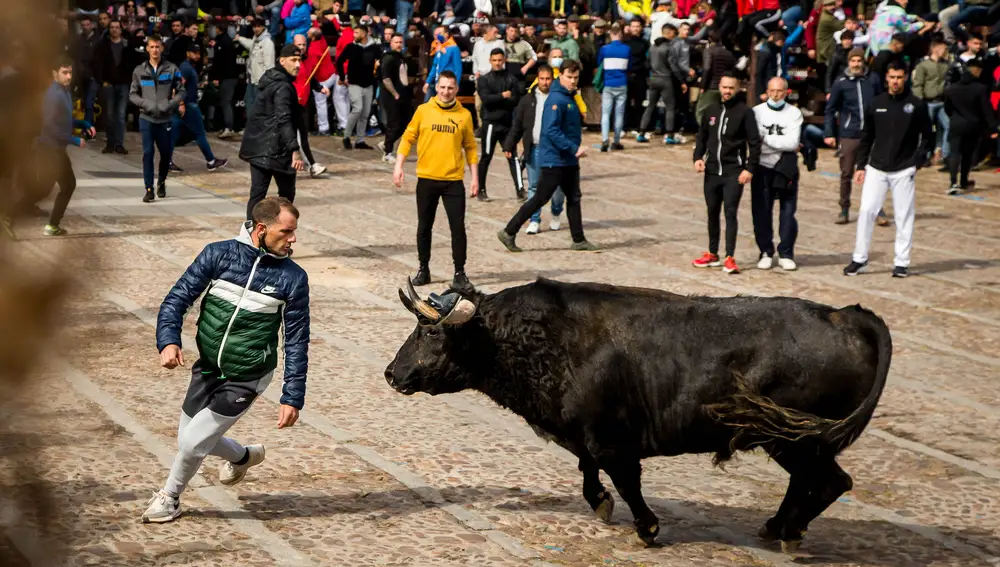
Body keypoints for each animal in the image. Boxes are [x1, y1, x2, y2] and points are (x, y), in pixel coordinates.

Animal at [382, 278, 892, 552]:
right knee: (810, 482)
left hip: (795, 439)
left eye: (432, 334)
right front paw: (599, 502)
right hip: (790, 441)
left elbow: (625, 481)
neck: (544, 340)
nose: (391, 373)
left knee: (830, 482)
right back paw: (776, 527)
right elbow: (587, 469)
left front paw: (646, 527)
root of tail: (847, 315)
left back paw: (789, 531)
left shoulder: (612, 440)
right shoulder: (585, 433)